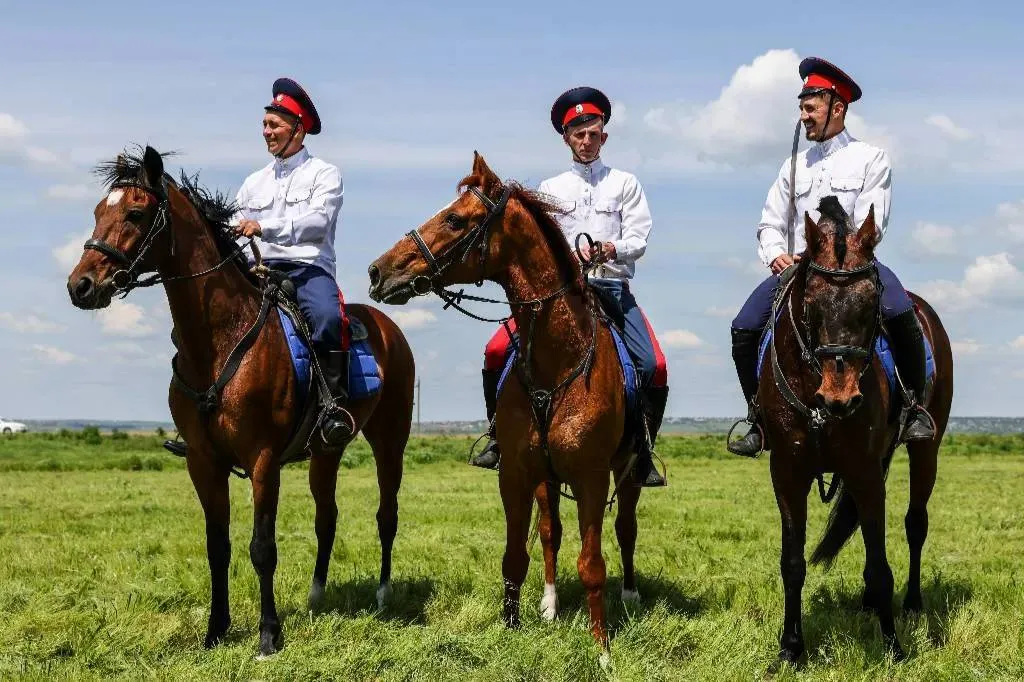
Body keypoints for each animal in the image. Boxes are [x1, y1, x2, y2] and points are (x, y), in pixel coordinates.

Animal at [66, 146, 415, 655]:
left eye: (134, 212)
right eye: (97, 212)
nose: (81, 286)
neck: (221, 339)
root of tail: (388, 328)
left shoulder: (263, 460)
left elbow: (262, 547)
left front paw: (269, 635)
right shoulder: (203, 460)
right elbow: (218, 547)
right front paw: (216, 630)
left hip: (390, 440)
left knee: (386, 515)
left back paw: (384, 593)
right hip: (326, 451)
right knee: (326, 517)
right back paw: (316, 595)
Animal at [364, 152, 643, 655]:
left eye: (454, 219)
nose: (379, 271)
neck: (558, 360)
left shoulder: (592, 477)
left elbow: (592, 564)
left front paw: (602, 650)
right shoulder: (515, 473)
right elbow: (515, 556)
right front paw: (512, 629)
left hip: (627, 471)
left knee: (626, 528)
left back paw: (629, 596)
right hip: (546, 479)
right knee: (550, 533)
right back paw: (550, 605)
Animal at [765, 197, 954, 663]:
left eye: (871, 305)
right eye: (811, 303)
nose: (840, 397)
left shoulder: (864, 470)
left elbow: (880, 563)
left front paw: (893, 646)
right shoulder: (787, 472)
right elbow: (792, 563)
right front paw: (791, 648)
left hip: (927, 450)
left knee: (915, 523)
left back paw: (912, 604)